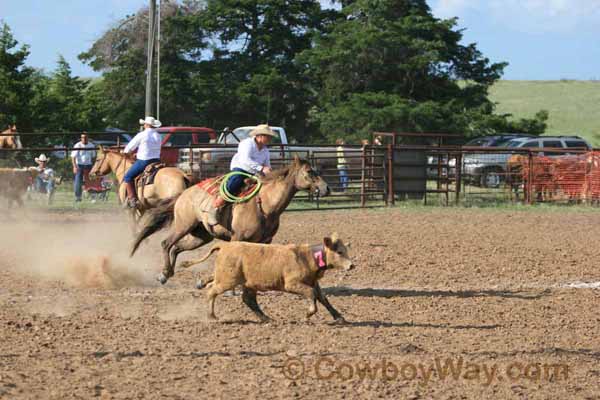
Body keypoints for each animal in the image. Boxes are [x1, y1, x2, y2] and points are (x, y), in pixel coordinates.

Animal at [130, 156, 332, 284]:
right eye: (309, 171)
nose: (327, 188)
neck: (266, 205)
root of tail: (184, 193)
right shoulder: (237, 238)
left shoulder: (264, 242)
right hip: (183, 225)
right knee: (166, 243)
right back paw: (164, 273)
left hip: (201, 236)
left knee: (177, 248)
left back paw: (168, 273)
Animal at [180, 233, 354, 324]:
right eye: (339, 252)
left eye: (345, 250)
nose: (351, 265)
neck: (307, 257)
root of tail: (225, 246)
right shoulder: (291, 284)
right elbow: (312, 294)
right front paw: (308, 314)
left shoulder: (313, 282)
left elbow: (323, 298)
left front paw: (339, 317)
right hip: (228, 280)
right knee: (212, 291)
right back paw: (212, 316)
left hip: (244, 282)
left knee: (248, 300)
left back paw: (266, 318)